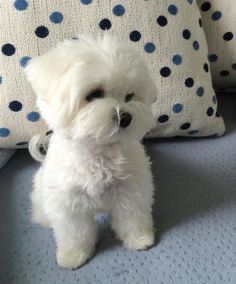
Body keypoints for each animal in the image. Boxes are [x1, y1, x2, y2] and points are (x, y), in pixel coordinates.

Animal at [25, 34, 158, 270]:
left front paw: (140, 239)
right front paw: (73, 255)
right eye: (94, 94)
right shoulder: (68, 202)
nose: (125, 117)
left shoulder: (130, 190)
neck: (99, 150)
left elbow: (132, 216)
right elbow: (75, 233)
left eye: (130, 96)